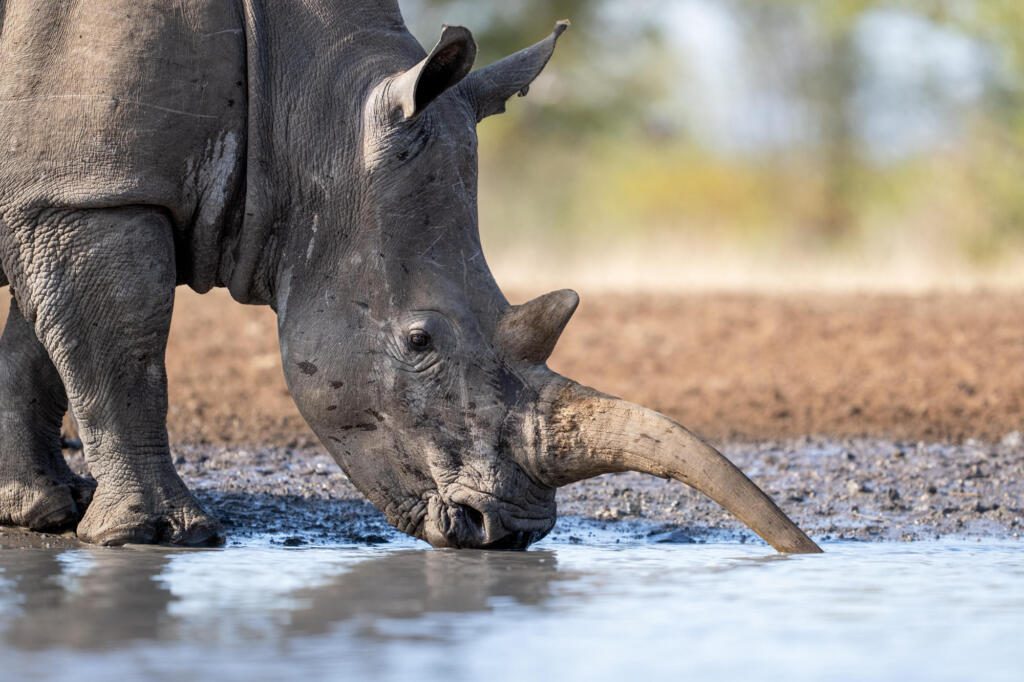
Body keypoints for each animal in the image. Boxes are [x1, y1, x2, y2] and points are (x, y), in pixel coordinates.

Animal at [0, 0, 820, 553]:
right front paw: (166, 535)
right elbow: (121, 348)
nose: (504, 531)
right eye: (420, 341)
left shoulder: (59, 190)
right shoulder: (92, 194)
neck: (302, 108)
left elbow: (38, 346)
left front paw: (39, 510)